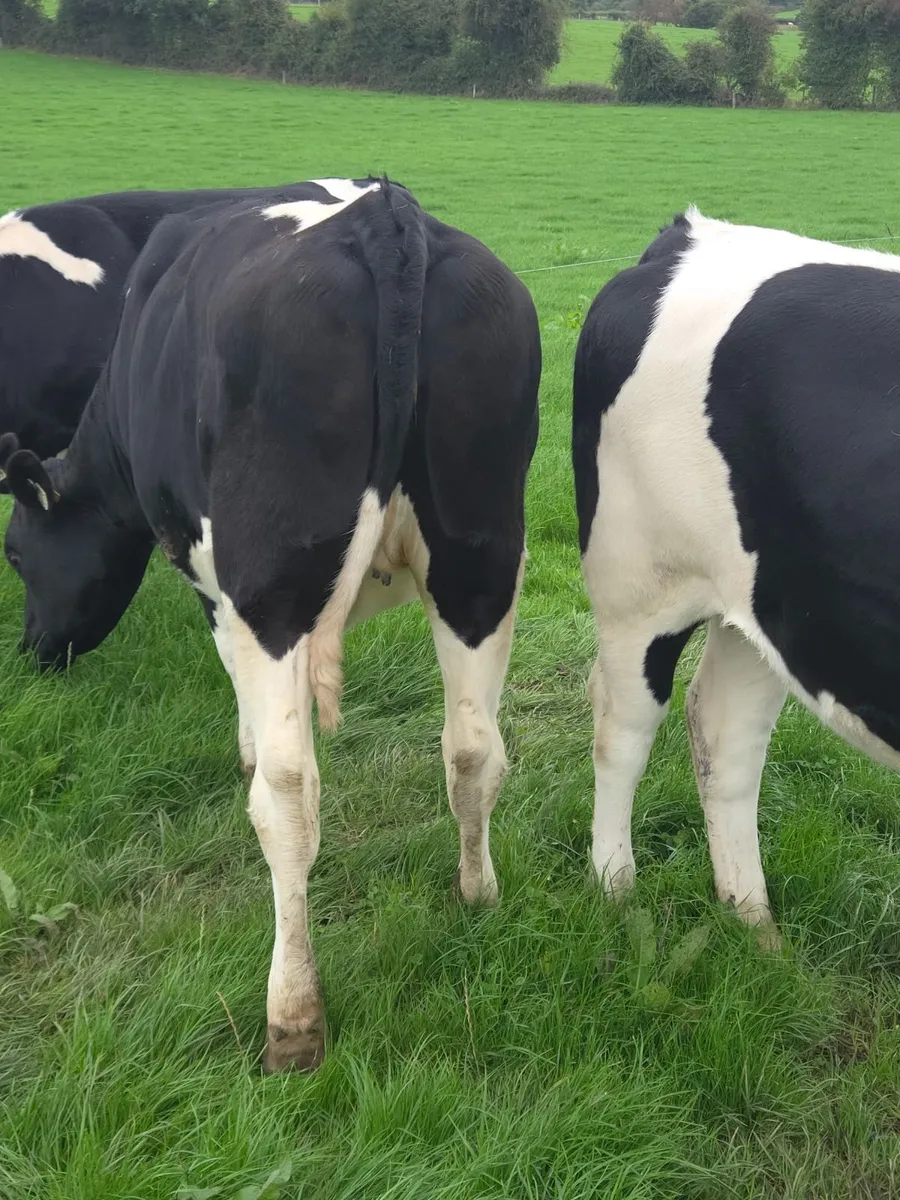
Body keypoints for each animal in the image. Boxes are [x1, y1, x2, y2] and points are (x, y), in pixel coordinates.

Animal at [572, 206, 900, 948]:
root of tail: (691, 234)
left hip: (774, 608)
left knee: (724, 731)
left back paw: (754, 923)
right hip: (640, 582)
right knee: (622, 727)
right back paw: (614, 888)